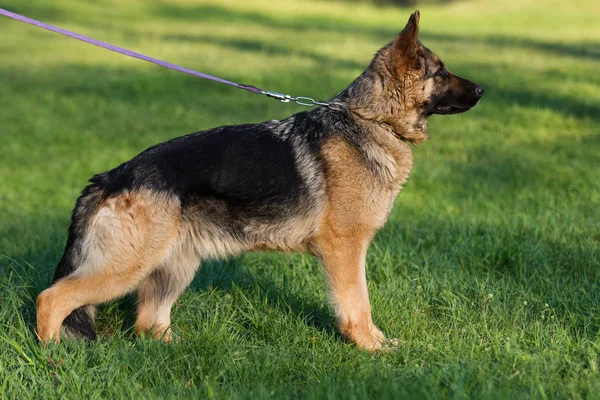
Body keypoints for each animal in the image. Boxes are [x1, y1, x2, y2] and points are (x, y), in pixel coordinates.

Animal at [36, 10, 482, 350]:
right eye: (441, 72)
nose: (482, 89)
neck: (370, 119)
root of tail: (111, 176)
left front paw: (379, 343)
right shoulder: (345, 249)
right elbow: (358, 304)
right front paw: (371, 348)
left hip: (172, 265)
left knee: (148, 323)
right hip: (129, 264)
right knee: (51, 298)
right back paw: (54, 358)